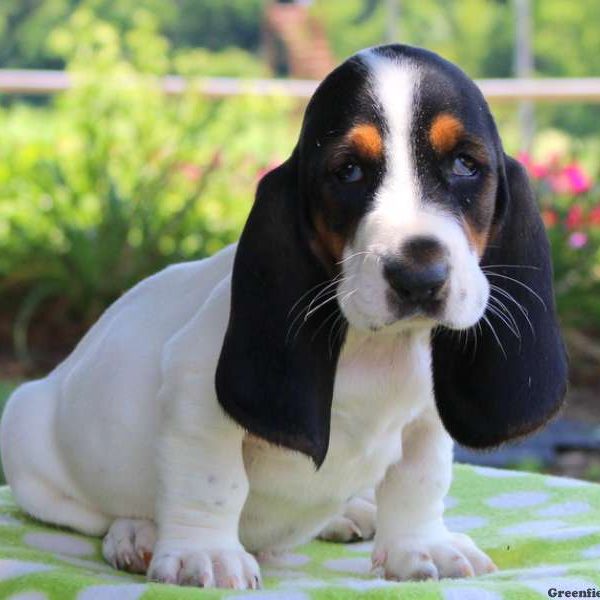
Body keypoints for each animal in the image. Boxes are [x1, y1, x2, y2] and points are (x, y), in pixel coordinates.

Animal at [1, 47, 568, 592]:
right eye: (348, 171)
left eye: (465, 165)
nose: (419, 276)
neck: (376, 346)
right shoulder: (197, 398)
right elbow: (213, 483)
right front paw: (206, 555)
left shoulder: (427, 419)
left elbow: (419, 481)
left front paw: (422, 548)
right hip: (27, 436)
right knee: (97, 516)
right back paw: (137, 534)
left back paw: (348, 512)